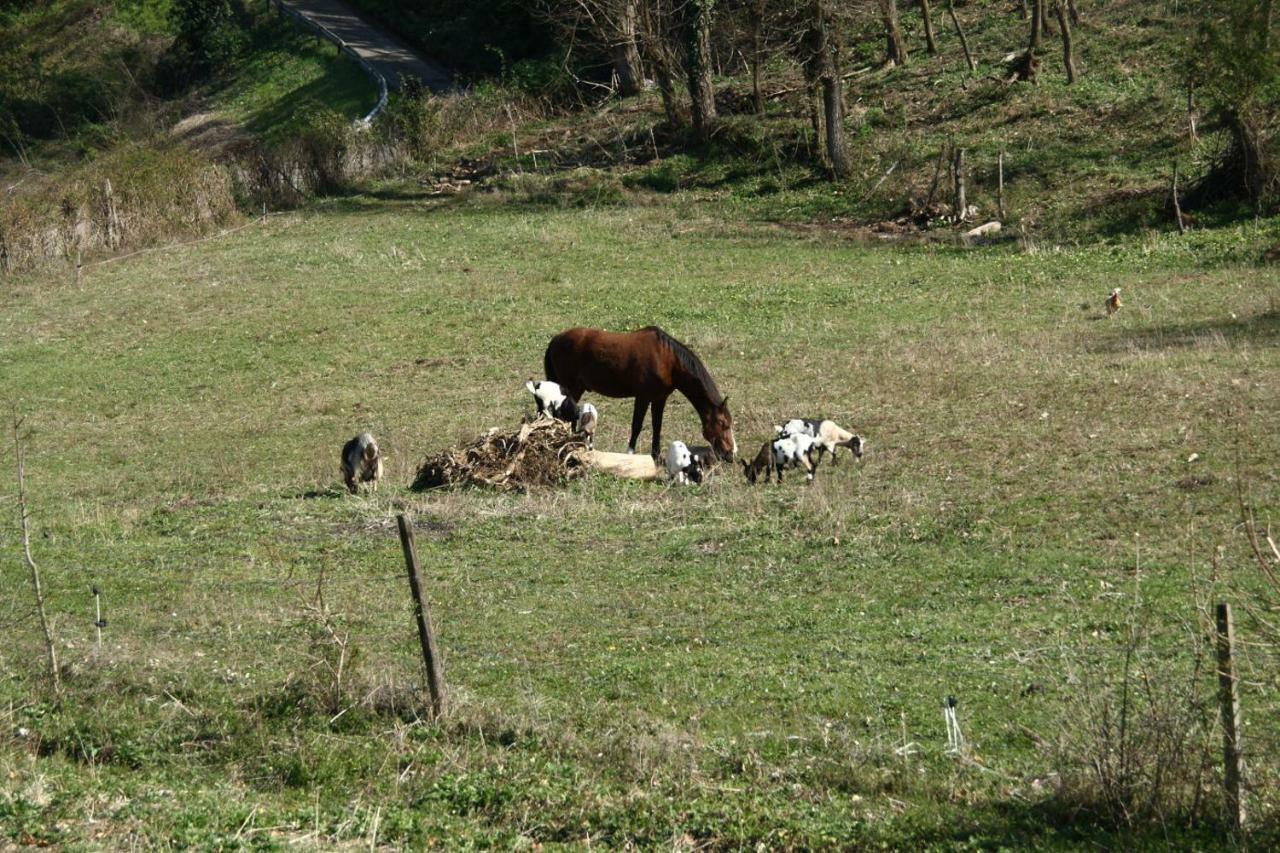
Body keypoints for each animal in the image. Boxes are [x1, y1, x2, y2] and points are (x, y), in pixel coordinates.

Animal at [545, 325, 737, 458]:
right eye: (723, 424)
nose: (731, 453)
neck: (667, 359)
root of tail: (556, 339)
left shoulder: (660, 398)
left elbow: (657, 426)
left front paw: (656, 455)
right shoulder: (643, 397)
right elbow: (637, 425)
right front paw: (630, 452)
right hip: (571, 389)